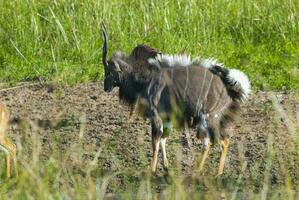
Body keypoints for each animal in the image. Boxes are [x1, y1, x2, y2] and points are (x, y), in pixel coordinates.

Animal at [102, 24, 252, 175]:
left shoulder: (156, 116)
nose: (105, 88)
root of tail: (233, 88)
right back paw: (216, 172)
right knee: (221, 141)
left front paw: (152, 170)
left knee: (213, 142)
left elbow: (155, 143)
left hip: (208, 118)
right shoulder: (167, 118)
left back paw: (201, 172)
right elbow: (163, 140)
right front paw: (166, 166)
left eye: (108, 72)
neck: (145, 80)